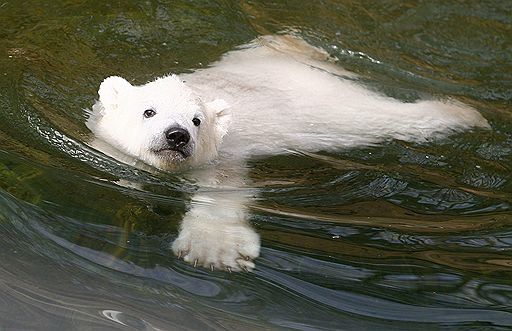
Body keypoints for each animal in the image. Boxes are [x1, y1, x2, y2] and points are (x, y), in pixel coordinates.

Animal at [87, 34, 488, 272]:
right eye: (148, 111)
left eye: (197, 120)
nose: (177, 136)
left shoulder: (226, 156)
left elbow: (224, 194)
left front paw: (215, 251)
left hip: (336, 114)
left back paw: (466, 113)